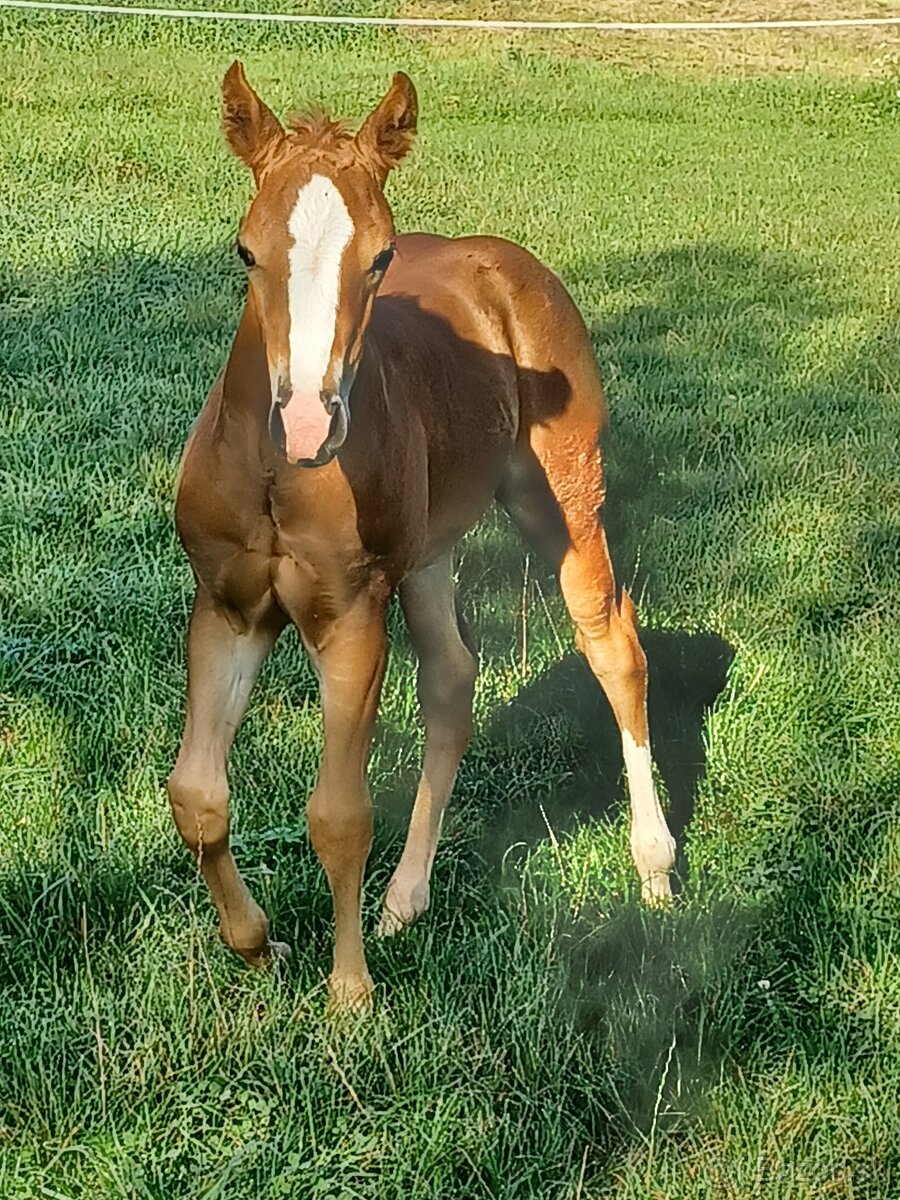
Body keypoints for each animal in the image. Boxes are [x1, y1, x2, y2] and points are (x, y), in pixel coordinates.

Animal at [167, 62, 676, 1012]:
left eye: (381, 256)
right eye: (246, 251)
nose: (307, 424)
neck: (278, 475)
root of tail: (506, 261)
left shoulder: (352, 615)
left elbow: (337, 814)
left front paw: (349, 995)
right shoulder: (227, 608)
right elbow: (197, 797)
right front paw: (260, 947)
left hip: (561, 500)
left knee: (613, 646)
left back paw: (655, 863)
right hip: (430, 556)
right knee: (451, 679)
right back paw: (406, 897)